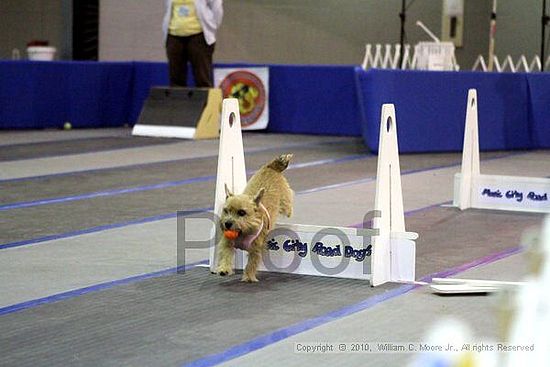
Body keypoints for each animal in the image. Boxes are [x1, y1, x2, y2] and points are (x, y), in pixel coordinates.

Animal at [217, 154, 296, 284]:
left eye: (241, 212)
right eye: (226, 210)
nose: (227, 224)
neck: (242, 232)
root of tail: (271, 167)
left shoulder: (256, 250)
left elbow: (251, 264)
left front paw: (249, 277)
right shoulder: (227, 243)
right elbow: (226, 255)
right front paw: (224, 269)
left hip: (285, 201)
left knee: (288, 206)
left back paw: (289, 212)